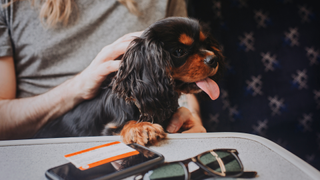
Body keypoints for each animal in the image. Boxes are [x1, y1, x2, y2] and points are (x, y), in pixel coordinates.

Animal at [33, 16, 224, 146]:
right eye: (179, 51)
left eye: (205, 44)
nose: (213, 59)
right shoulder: (106, 130)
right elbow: (124, 124)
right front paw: (141, 128)